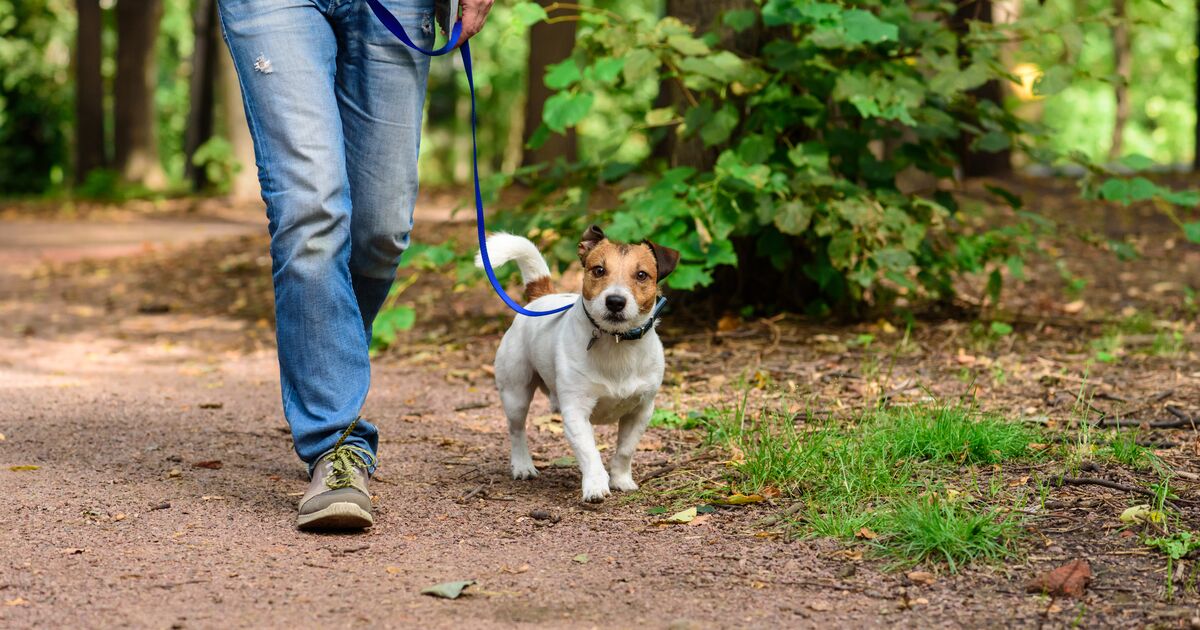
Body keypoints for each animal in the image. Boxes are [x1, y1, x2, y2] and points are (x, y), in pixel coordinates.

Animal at [480, 225, 686, 501]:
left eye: (642, 275)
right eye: (598, 270)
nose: (615, 301)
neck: (616, 343)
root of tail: (541, 296)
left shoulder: (641, 411)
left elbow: (625, 450)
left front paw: (621, 480)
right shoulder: (576, 411)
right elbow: (590, 453)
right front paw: (596, 486)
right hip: (515, 393)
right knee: (517, 430)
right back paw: (523, 465)